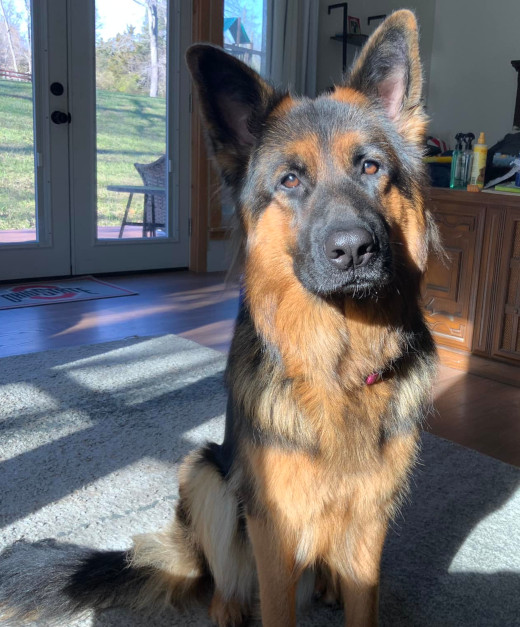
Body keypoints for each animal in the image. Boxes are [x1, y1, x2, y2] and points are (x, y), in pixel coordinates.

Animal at [0, 9, 438, 627]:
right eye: (290, 180)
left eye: (371, 167)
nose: (354, 250)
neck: (339, 368)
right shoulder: (273, 529)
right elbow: (275, 605)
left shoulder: (370, 524)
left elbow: (362, 599)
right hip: (204, 471)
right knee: (220, 582)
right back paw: (228, 607)